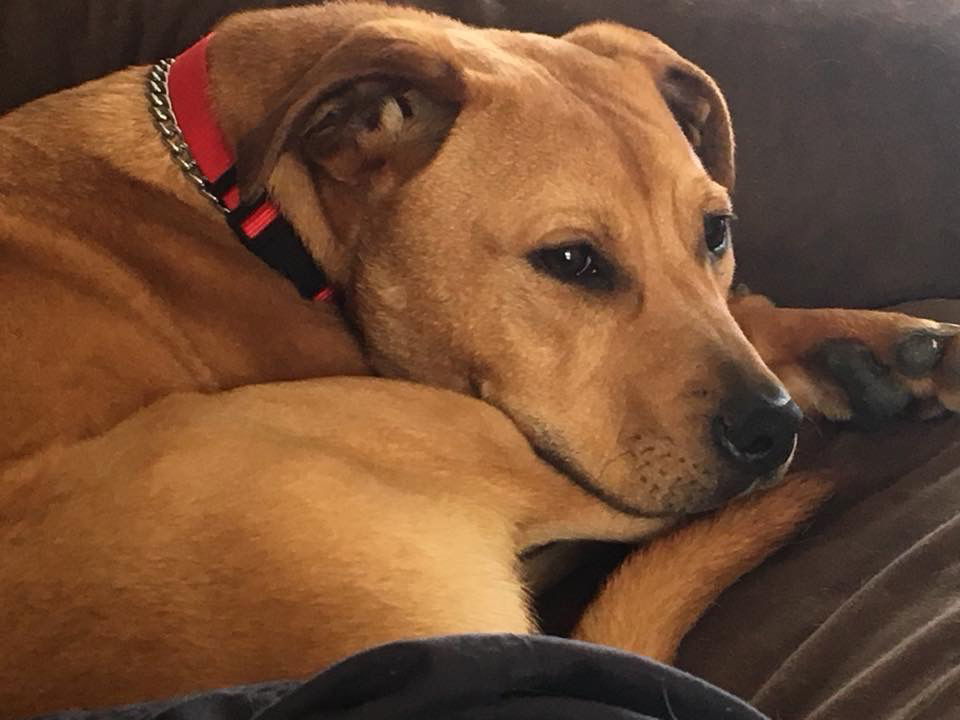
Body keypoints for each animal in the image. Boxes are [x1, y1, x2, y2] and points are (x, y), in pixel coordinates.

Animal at [1, 1, 960, 716]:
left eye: (715, 232)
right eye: (571, 260)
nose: (771, 433)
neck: (250, 200)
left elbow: (744, 310)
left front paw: (867, 343)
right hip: (389, 427)